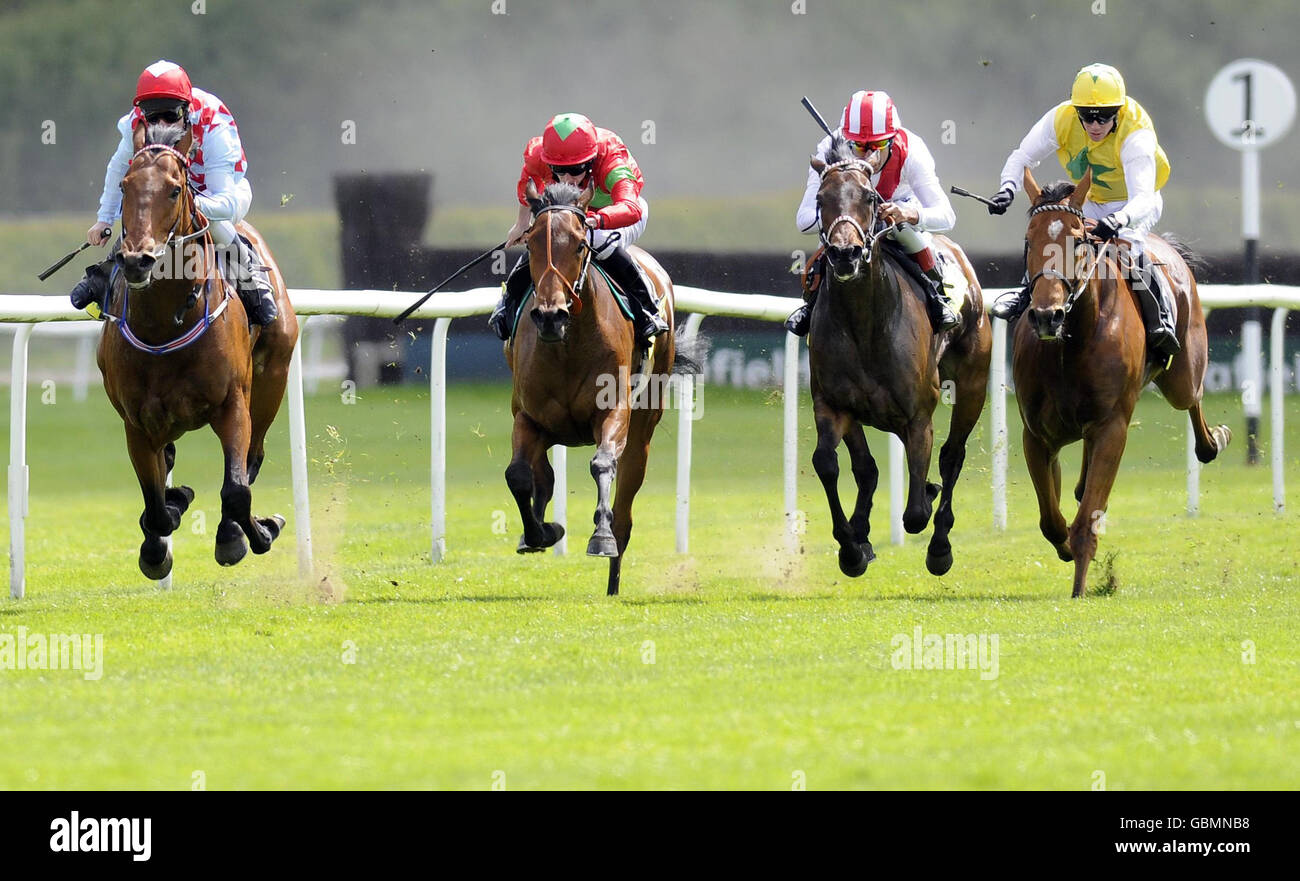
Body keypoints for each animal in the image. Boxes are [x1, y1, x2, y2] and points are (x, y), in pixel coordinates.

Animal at [99, 120, 299, 582]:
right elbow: (155, 503)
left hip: (271, 381)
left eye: (175, 190)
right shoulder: (136, 422)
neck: (163, 327)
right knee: (168, 463)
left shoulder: (232, 404)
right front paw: (159, 541)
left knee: (253, 457)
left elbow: (236, 489)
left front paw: (252, 534)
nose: (136, 260)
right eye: (124, 185)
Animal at [499, 180, 681, 597]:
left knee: (626, 507)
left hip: (643, 428)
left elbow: (602, 464)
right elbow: (518, 475)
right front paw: (541, 532)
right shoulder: (528, 416)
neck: (567, 344)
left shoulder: (613, 411)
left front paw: (600, 537)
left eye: (582, 244)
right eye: (531, 243)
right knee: (542, 475)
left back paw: (613, 580)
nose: (550, 316)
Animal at [806, 137, 987, 579]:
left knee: (952, 457)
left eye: (870, 198)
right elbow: (831, 464)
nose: (846, 254)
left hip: (973, 383)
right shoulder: (833, 404)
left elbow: (916, 513)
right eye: (820, 198)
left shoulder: (918, 414)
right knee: (868, 468)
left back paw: (940, 544)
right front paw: (852, 546)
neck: (865, 323)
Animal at [1013, 167, 1227, 600]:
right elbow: (1051, 519)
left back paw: (1213, 441)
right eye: (1030, 239)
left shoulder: (1113, 426)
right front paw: (1064, 544)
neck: (1072, 342)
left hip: (1182, 372)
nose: (1046, 315)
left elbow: (1084, 523)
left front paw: (1079, 587)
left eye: (1077, 239)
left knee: (1192, 396)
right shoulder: (1037, 435)